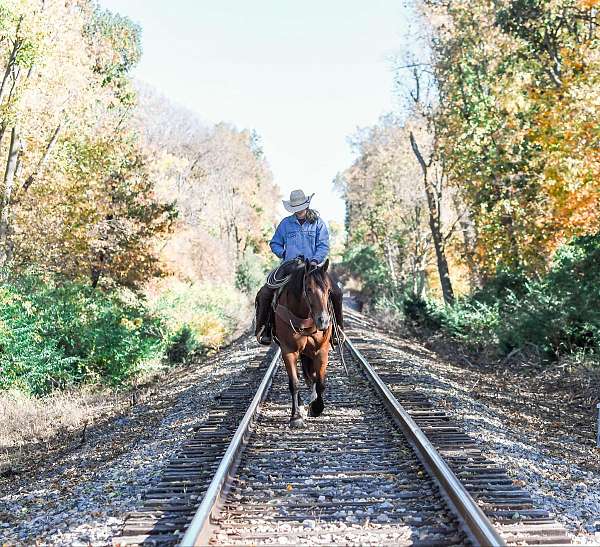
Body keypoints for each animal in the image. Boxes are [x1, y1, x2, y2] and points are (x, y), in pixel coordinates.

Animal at [276, 260, 336, 430]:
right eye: (308, 289)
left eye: (328, 289)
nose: (323, 321)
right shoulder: (288, 351)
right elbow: (294, 383)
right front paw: (295, 417)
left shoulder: (321, 351)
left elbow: (320, 382)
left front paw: (316, 407)